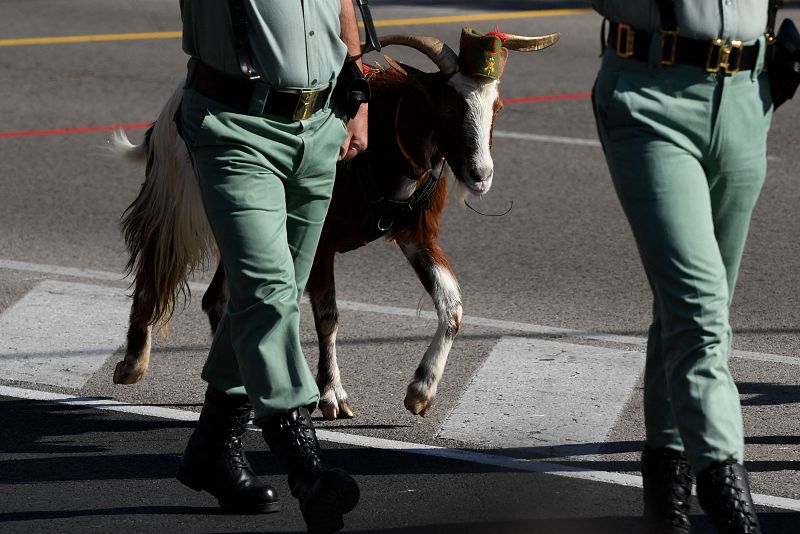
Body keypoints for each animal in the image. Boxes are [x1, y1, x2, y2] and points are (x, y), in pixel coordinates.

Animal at [111, 29, 556, 420]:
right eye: (447, 104)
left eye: (497, 107)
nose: (481, 175)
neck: (380, 140)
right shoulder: (320, 238)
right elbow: (328, 316)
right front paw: (332, 396)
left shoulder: (416, 235)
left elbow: (452, 306)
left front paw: (421, 392)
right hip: (180, 196)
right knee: (156, 260)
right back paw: (133, 362)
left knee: (218, 298)